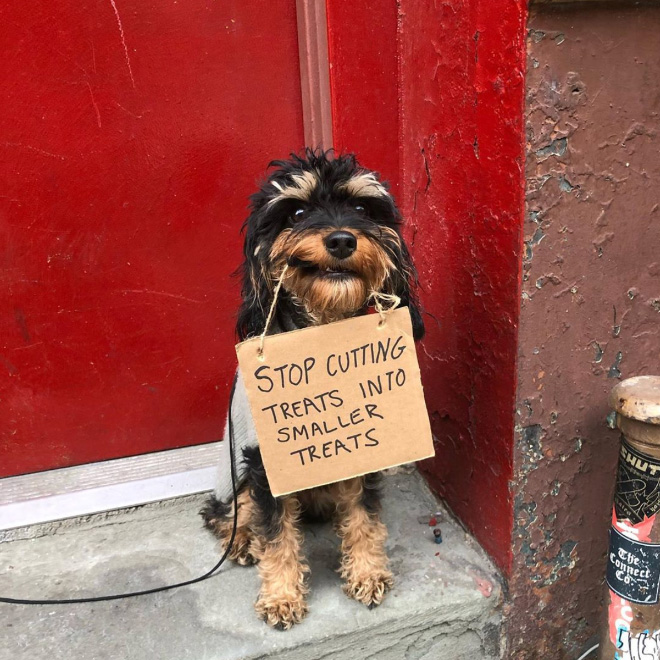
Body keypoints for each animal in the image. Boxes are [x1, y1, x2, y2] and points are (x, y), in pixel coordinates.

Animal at [200, 148, 422, 628]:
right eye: (298, 212)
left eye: (361, 208)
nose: (340, 239)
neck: (323, 332)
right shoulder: (266, 463)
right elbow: (277, 533)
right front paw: (281, 596)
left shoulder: (363, 445)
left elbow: (363, 515)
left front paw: (367, 572)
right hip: (235, 475)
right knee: (226, 512)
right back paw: (241, 540)